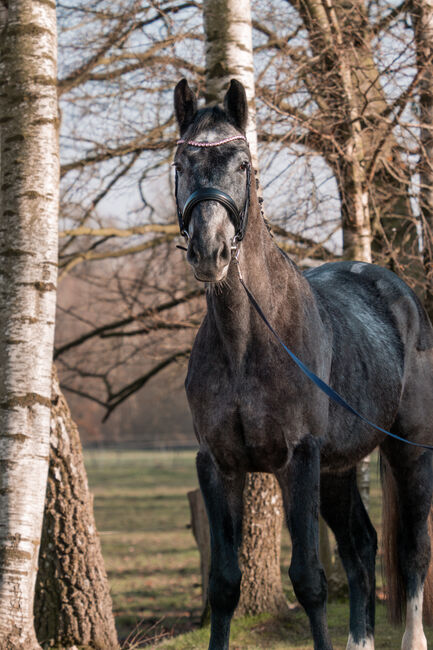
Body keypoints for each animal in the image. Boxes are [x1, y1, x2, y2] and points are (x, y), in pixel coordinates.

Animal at [171, 77, 432, 648]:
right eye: (180, 163)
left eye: (242, 163)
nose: (209, 252)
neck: (247, 343)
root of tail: (400, 292)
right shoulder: (217, 464)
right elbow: (224, 583)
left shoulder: (299, 459)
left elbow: (309, 579)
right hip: (338, 471)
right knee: (361, 550)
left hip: (410, 452)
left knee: (412, 551)